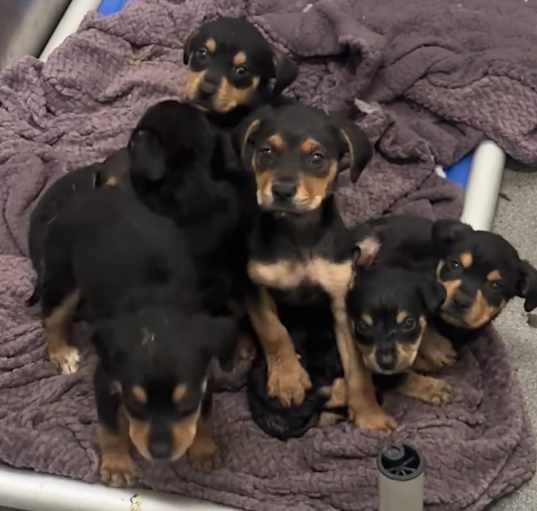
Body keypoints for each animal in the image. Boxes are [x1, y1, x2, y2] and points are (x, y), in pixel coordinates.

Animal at [237, 103, 396, 432]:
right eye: (266, 151)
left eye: (317, 157)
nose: (282, 190)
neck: (298, 234)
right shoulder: (255, 283)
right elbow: (273, 329)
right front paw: (287, 380)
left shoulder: (340, 300)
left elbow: (357, 369)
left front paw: (369, 414)